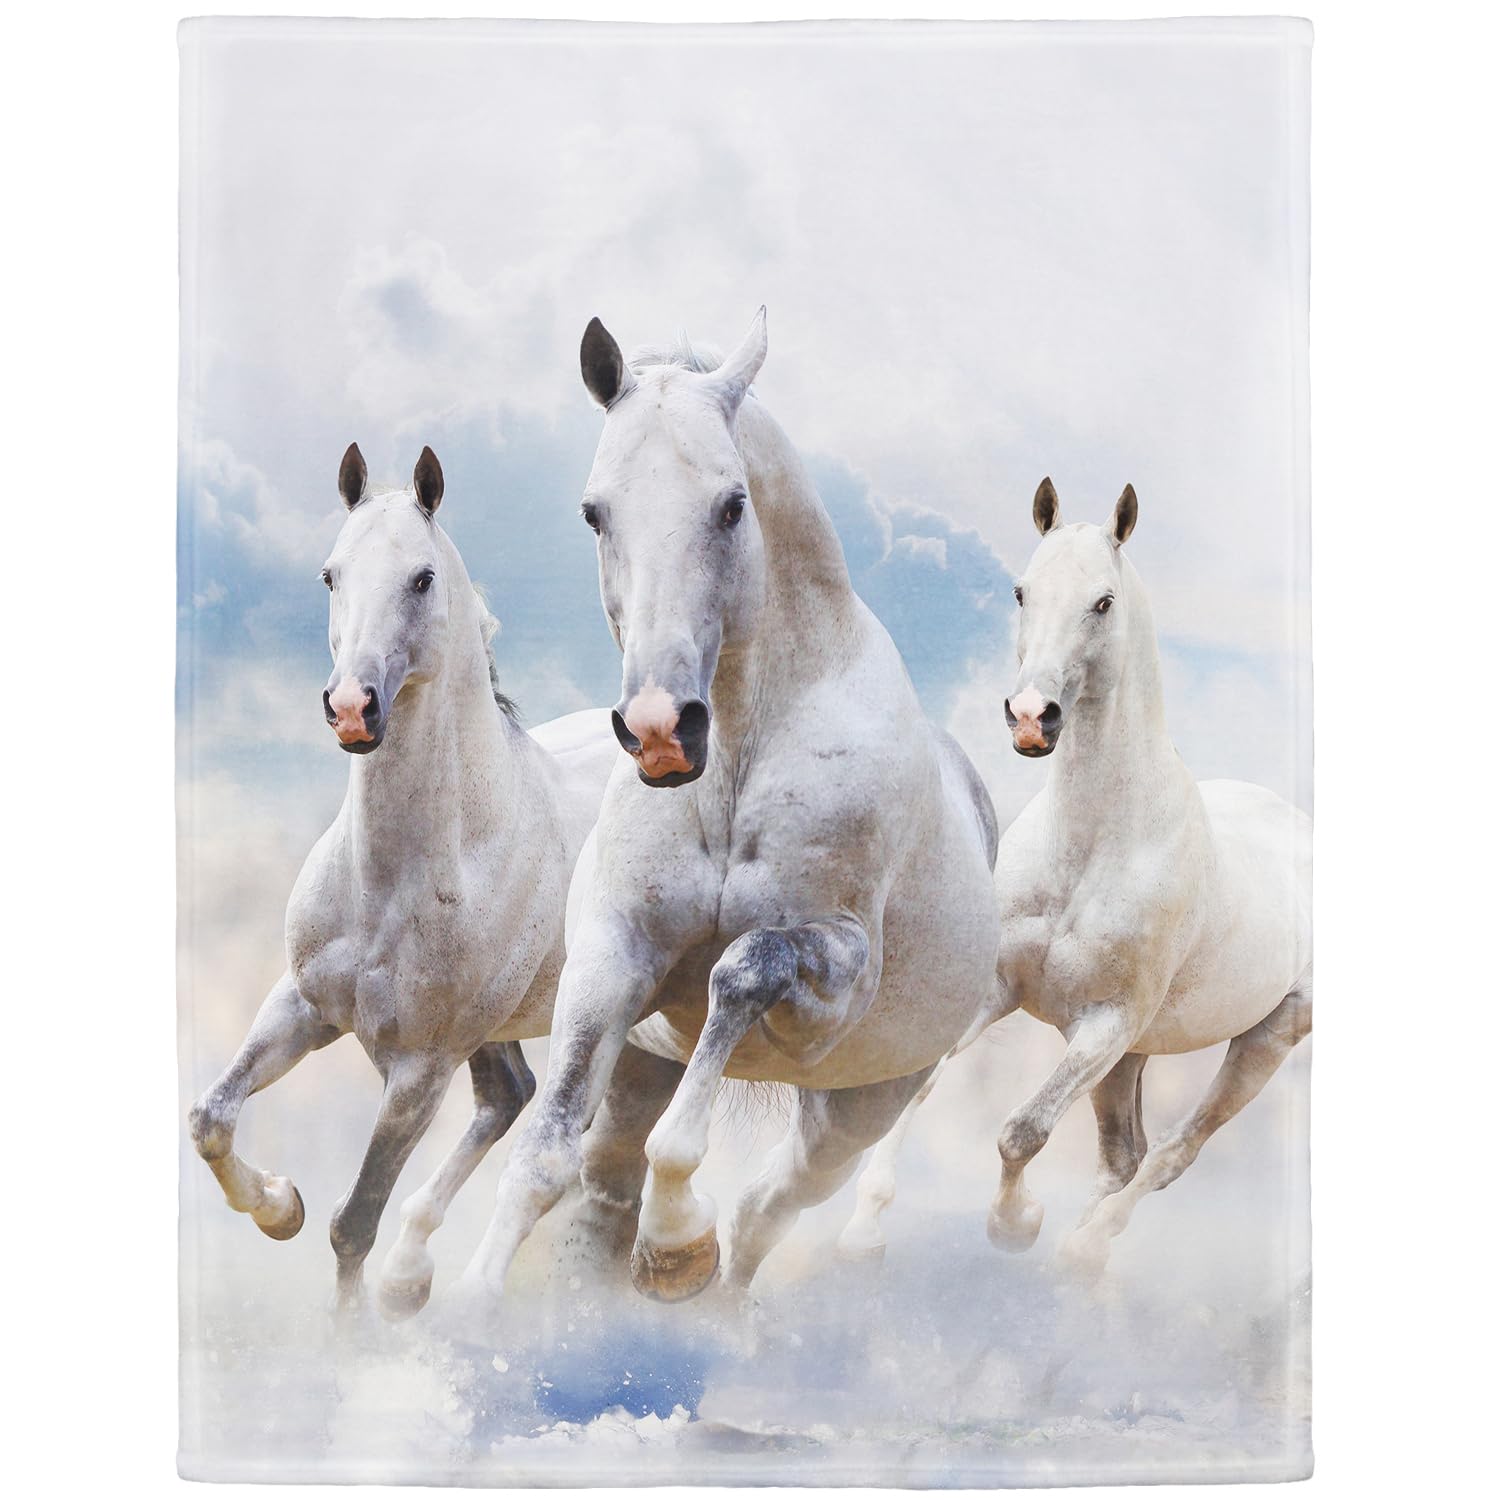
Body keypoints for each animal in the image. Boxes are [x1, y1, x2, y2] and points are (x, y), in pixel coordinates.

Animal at [187, 443, 617, 1318]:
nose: (353, 708)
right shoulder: (303, 1005)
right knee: (509, 1093)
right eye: (330, 574)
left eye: (421, 578)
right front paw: (279, 1207)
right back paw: (411, 1274)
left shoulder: (421, 1067)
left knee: (552, 1124)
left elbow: (354, 1221)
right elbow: (211, 1117)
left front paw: (350, 1328)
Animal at [449, 310, 1005, 1315]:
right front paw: (467, 1304)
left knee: (766, 1209)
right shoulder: (613, 957)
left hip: (858, 1109)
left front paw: (675, 1243)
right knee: (609, 1183)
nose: (662, 730)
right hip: (643, 1065)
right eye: (595, 512)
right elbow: (545, 1152)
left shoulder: (831, 979)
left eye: (733, 505)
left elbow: (743, 974)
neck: (742, 760)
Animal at [974, 479, 1309, 1274]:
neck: (1091, 846)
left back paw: (1084, 1248)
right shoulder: (1001, 987)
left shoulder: (1102, 1025)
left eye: (1103, 601)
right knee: (1124, 1155)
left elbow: (1022, 1130)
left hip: (1264, 1039)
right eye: (1022, 590)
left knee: (1171, 1155)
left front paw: (1014, 1224)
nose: (1031, 719)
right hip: (1136, 1053)